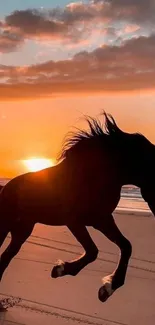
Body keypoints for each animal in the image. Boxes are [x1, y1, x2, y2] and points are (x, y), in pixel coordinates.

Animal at [0, 112, 154, 304]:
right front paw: (61, 269)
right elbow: (92, 251)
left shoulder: (102, 219)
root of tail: (5, 188)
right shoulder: (74, 221)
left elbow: (126, 246)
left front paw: (108, 288)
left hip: (21, 231)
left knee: (5, 258)